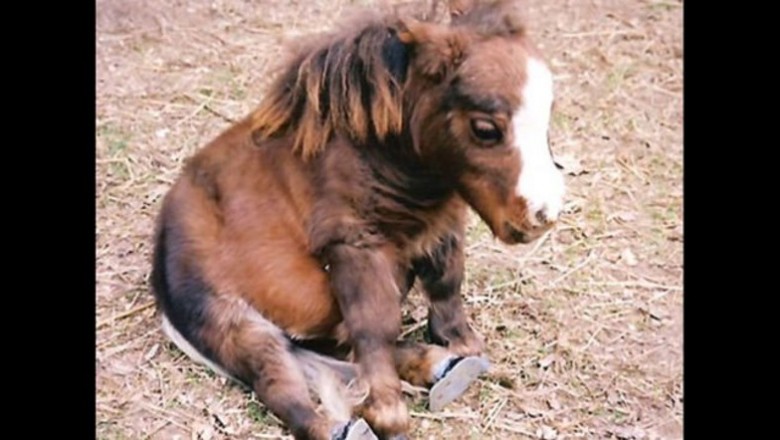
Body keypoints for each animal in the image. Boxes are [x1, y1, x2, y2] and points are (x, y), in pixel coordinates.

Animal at [152, 1, 564, 438]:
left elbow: (446, 286)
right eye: (485, 128)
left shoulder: (440, 225)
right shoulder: (352, 245)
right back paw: (344, 425)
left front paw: (464, 352)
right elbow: (375, 323)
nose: (543, 215)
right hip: (232, 323)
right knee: (278, 377)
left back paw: (439, 366)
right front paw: (387, 413)